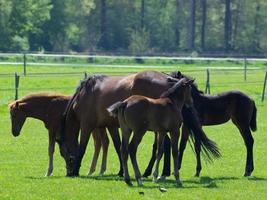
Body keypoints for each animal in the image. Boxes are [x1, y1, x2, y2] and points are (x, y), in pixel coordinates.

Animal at [59, 70, 222, 177]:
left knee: (165, 145)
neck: (85, 94)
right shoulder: (111, 126)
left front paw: (76, 170)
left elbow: (82, 147)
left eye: (63, 152)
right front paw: (121, 171)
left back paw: (157, 172)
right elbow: (118, 147)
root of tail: (169, 78)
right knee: (165, 145)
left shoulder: (86, 125)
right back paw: (159, 172)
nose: (68, 172)